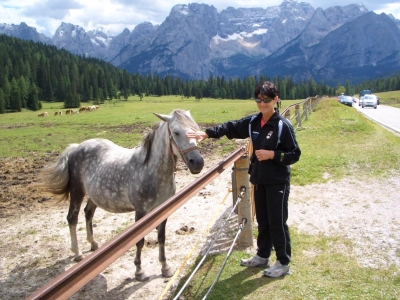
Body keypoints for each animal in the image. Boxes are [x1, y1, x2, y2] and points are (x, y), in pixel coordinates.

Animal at [33, 110, 205, 282]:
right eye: (176, 132)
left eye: (195, 130)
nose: (197, 163)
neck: (150, 169)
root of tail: (76, 147)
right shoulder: (141, 212)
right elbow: (139, 241)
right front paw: (139, 271)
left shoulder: (163, 210)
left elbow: (161, 238)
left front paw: (165, 268)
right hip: (77, 191)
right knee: (72, 218)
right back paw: (77, 253)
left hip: (95, 195)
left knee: (88, 213)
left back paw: (93, 244)